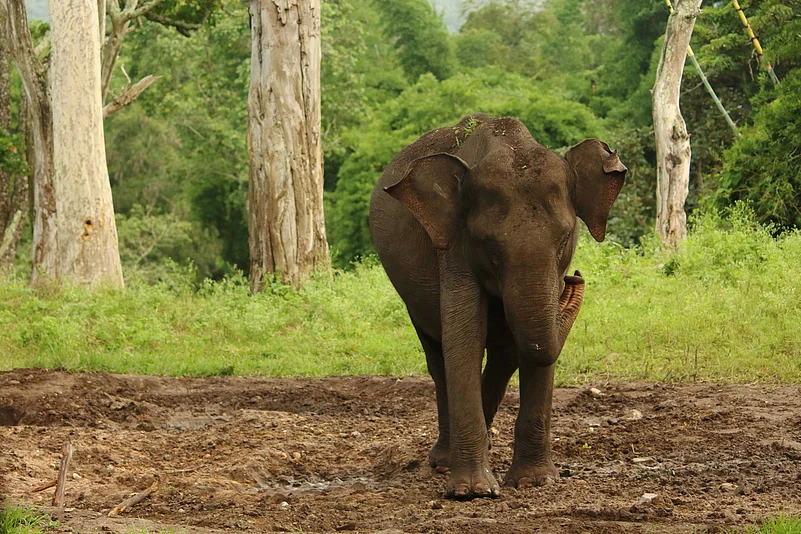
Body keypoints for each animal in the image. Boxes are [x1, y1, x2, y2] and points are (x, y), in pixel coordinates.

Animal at [369, 114, 626, 499]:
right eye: (490, 246)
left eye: (565, 239)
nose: (574, 279)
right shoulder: (454, 246)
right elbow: (464, 338)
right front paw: (472, 491)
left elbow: (534, 351)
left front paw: (535, 482)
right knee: (437, 356)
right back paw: (443, 461)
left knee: (505, 358)